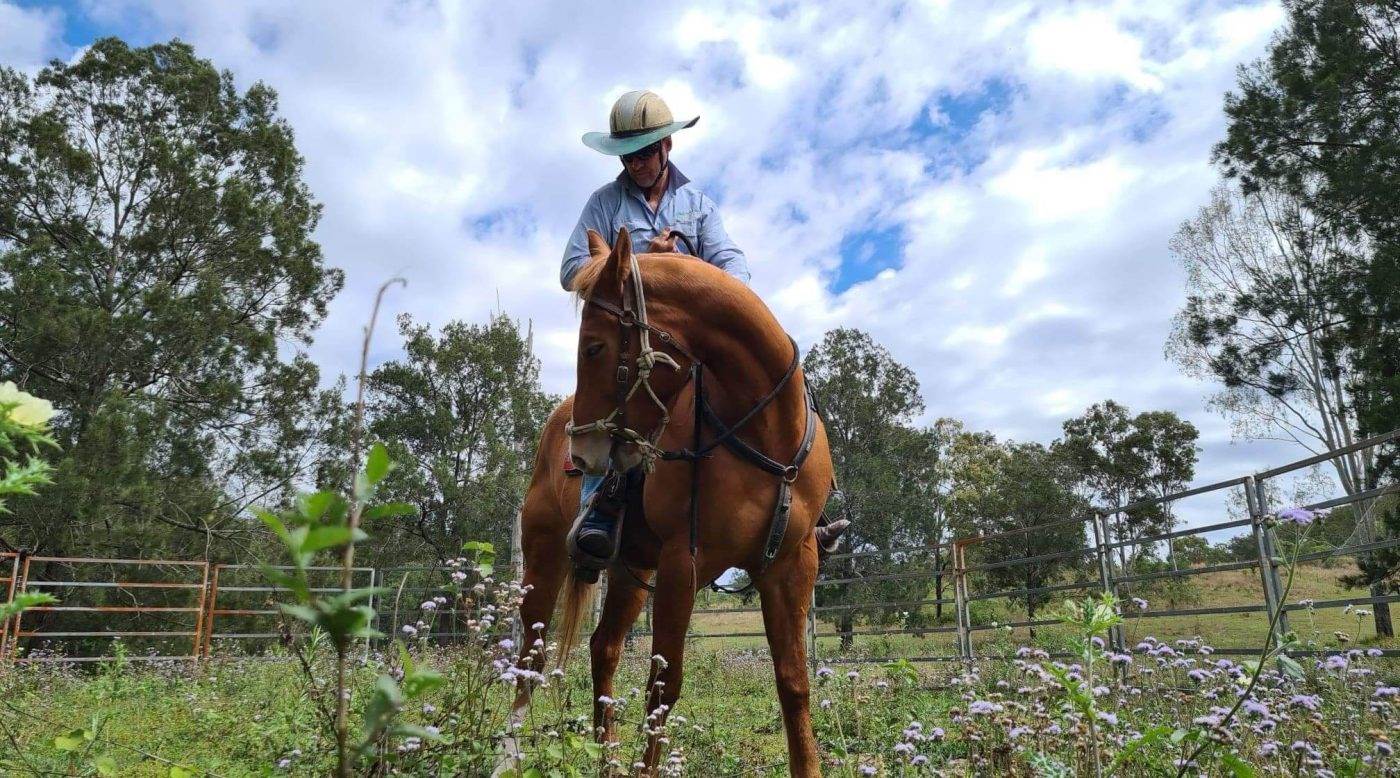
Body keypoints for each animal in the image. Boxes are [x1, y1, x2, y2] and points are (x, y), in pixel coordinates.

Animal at [504, 228, 828, 772]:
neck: (764, 431)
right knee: (531, 655)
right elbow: (664, 685)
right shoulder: (684, 562)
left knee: (603, 648)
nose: (582, 453)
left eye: (594, 347)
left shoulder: (791, 564)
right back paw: (507, 754)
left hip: (629, 572)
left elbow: (793, 682)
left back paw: (608, 759)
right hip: (544, 559)